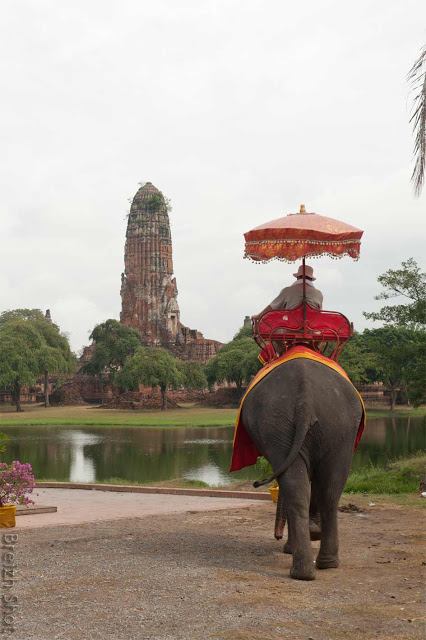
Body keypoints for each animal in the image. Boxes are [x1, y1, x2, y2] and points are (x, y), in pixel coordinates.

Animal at [241, 358, 362, 584]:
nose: (277, 536)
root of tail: (303, 402)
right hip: (294, 426)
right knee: (321, 488)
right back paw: (315, 566)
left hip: (327, 426)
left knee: (317, 488)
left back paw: (313, 567)